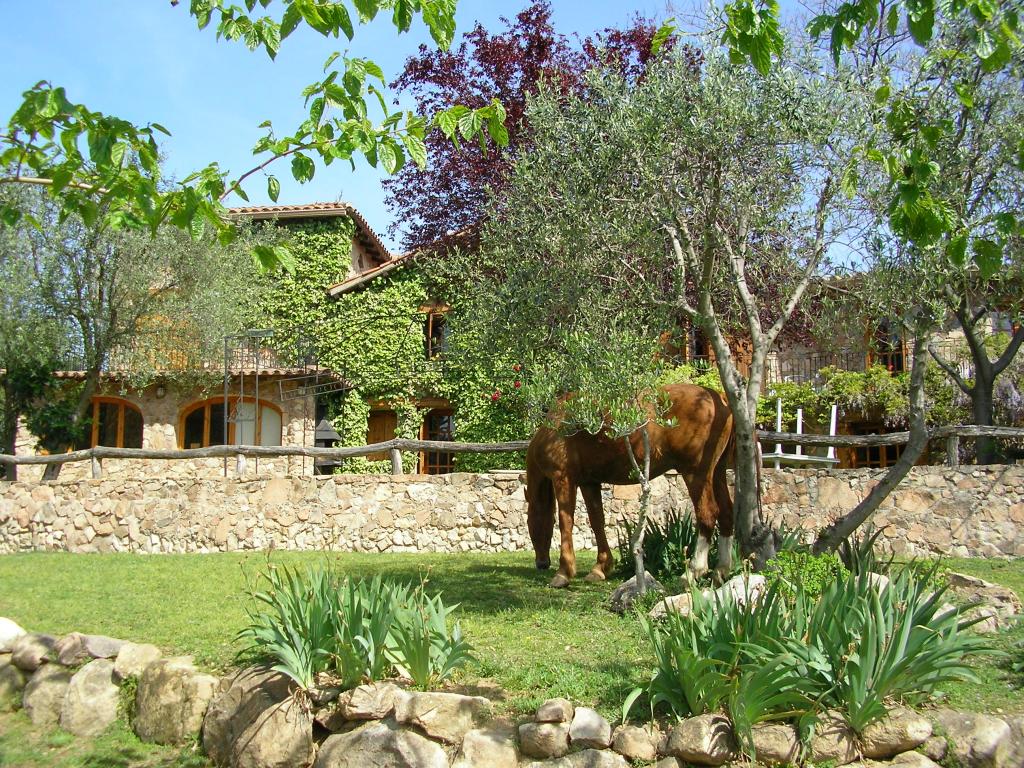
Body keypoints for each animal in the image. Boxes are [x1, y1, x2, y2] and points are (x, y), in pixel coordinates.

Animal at [526, 383, 736, 588]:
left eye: (530, 523)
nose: (541, 563)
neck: (557, 426)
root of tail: (719, 398)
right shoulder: (589, 483)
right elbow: (597, 521)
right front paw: (600, 568)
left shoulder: (563, 479)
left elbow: (566, 521)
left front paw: (563, 573)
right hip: (717, 473)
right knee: (726, 513)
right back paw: (721, 571)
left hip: (696, 474)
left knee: (708, 514)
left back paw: (692, 572)